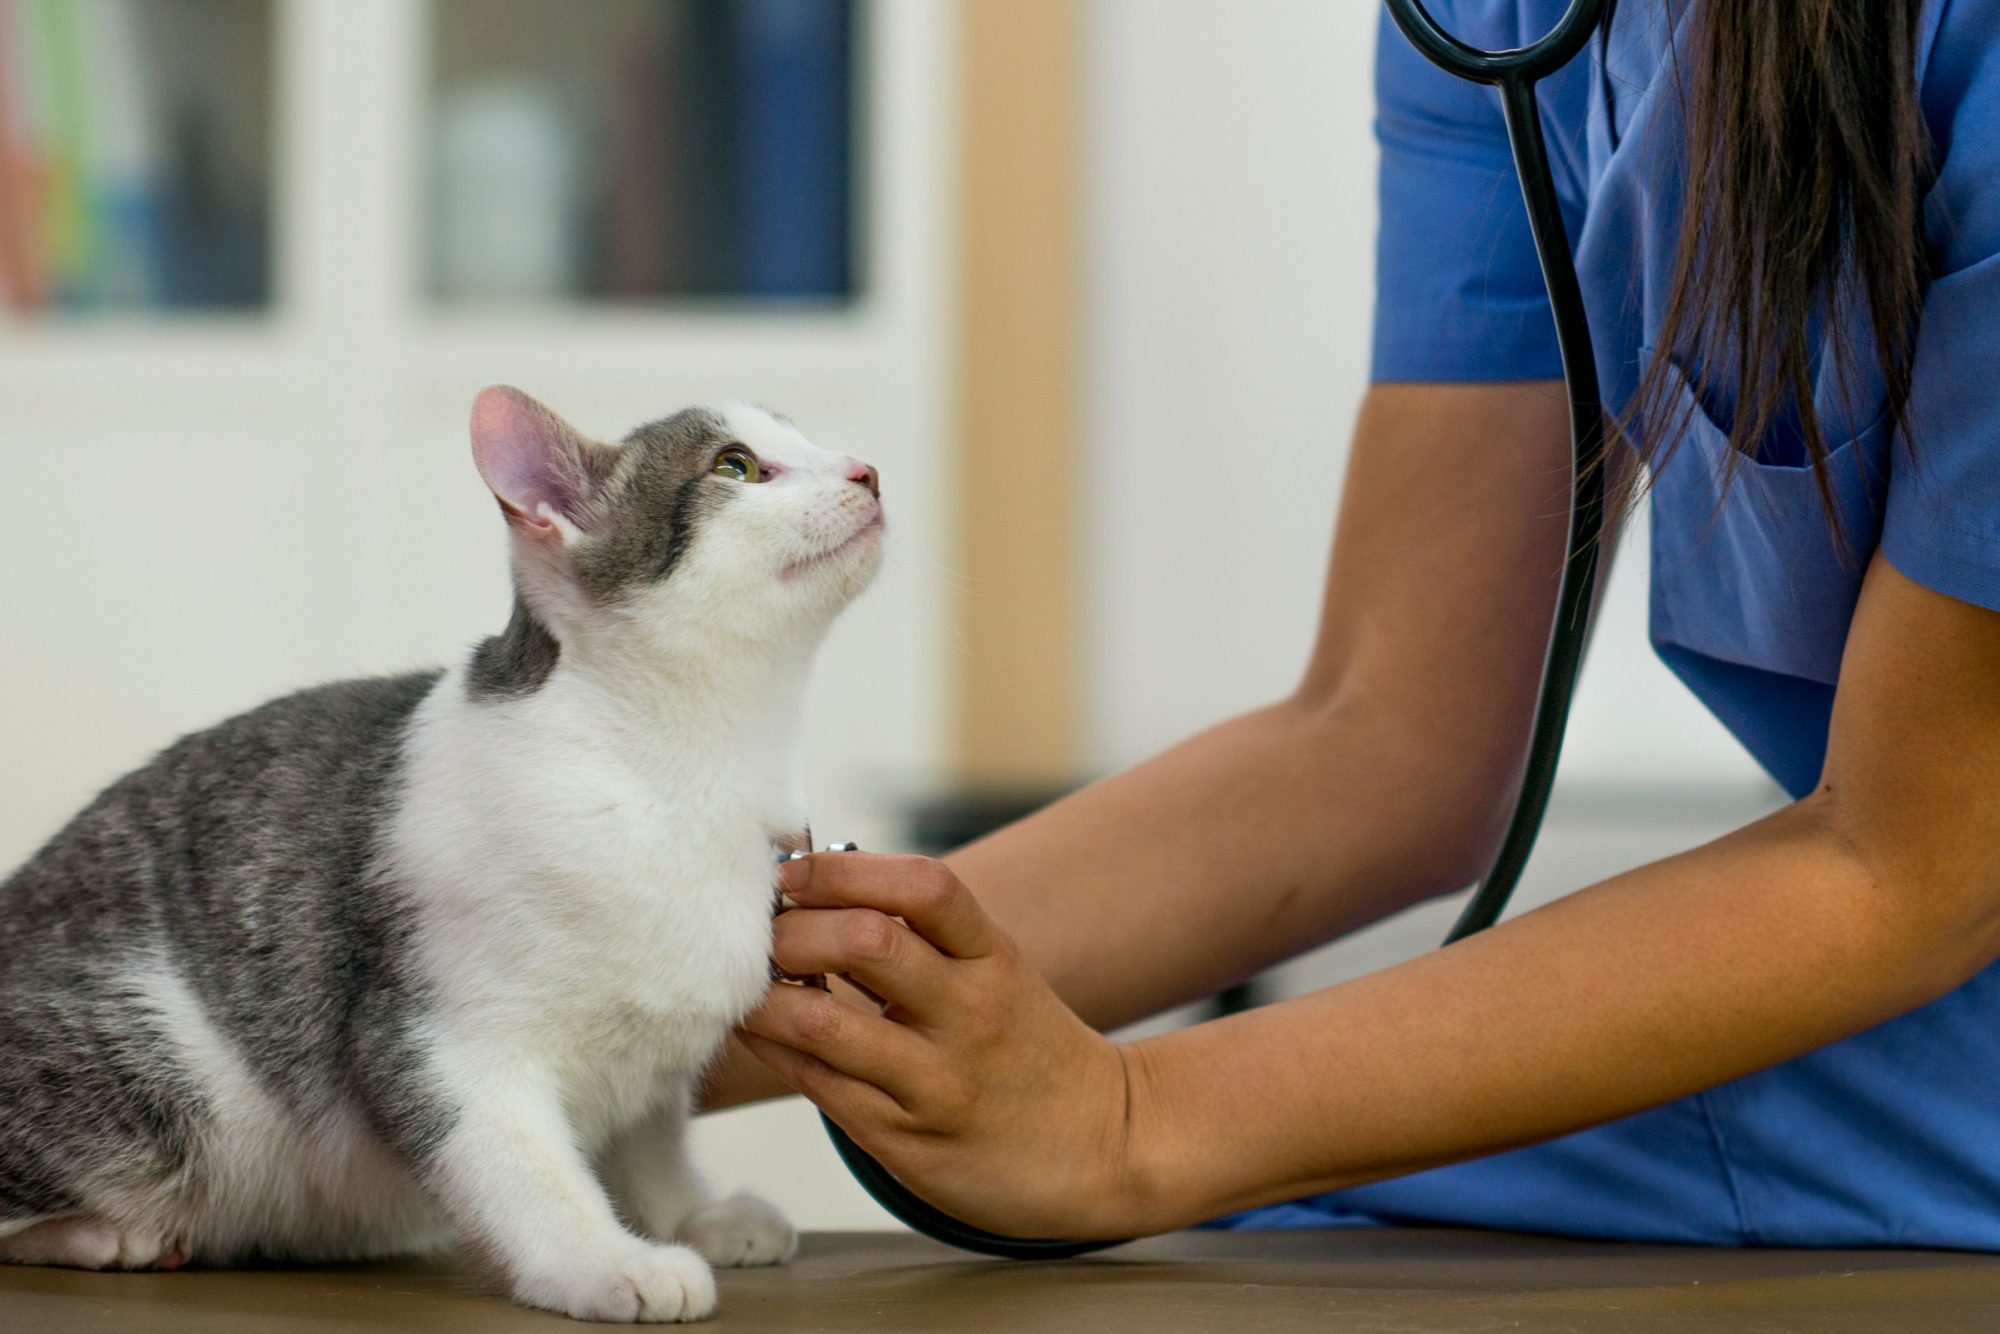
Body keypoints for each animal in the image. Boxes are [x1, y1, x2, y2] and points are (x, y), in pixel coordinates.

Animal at [0, 388, 892, 1328]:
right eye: (737, 466)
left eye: (806, 439)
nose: (867, 471)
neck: (688, 771)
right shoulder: (440, 1039)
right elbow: (525, 1172)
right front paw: (604, 1260)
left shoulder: (651, 1058)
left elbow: (650, 1141)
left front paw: (691, 1213)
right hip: (158, 1070)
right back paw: (101, 1234)